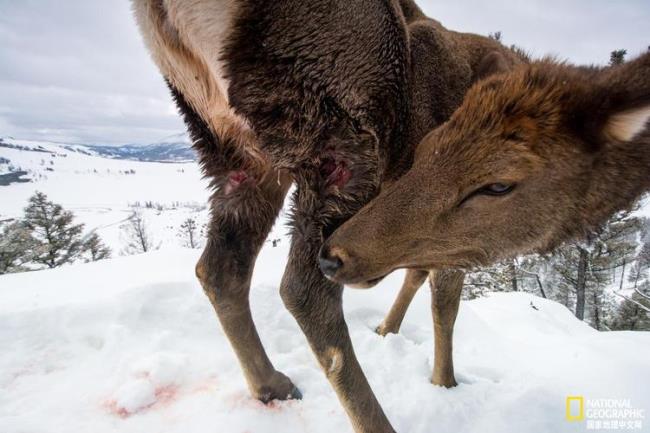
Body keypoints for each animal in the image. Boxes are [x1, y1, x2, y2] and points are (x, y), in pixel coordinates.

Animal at [132, 1, 520, 430]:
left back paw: (271, 384)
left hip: (235, 146)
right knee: (304, 290)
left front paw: (387, 328)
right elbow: (445, 305)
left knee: (221, 268)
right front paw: (444, 382)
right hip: (342, 138)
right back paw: (374, 420)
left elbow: (416, 273)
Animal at [320, 50, 648, 384]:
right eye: (423, 148)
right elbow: (441, 301)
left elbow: (442, 302)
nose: (331, 256)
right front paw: (443, 381)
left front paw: (443, 382)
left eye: (498, 185)